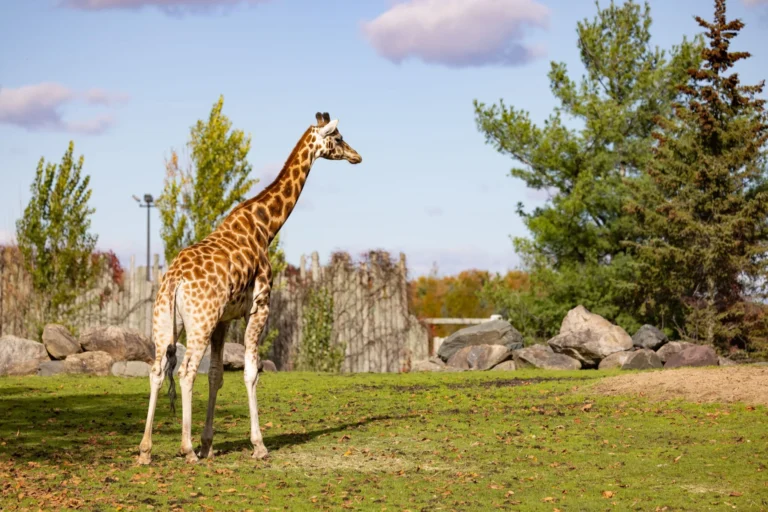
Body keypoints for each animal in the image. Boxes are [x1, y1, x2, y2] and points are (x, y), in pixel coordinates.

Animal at [139, 112, 364, 464]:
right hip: (198, 322)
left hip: (165, 321)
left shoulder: (223, 319)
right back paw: (186, 450)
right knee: (186, 372)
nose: (357, 156)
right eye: (339, 138)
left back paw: (146, 450)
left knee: (157, 370)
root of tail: (175, 280)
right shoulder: (260, 306)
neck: (266, 227)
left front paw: (209, 444)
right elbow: (250, 372)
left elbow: (217, 375)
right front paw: (258, 445)